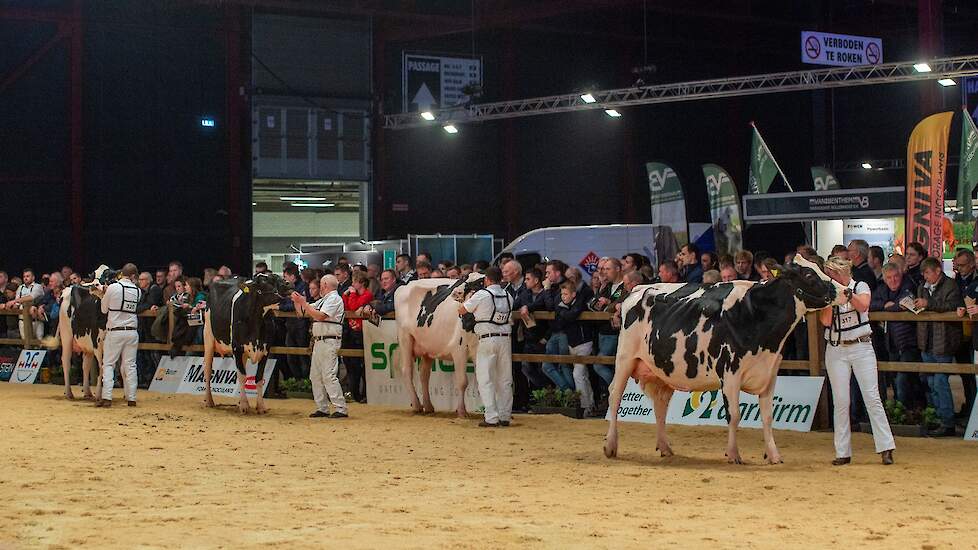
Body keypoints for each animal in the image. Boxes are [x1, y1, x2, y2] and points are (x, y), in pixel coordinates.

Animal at [199, 274, 288, 416]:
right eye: (265, 281)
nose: (287, 283)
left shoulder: (266, 351)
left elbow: (258, 378)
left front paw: (260, 406)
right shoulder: (237, 348)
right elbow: (242, 376)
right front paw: (245, 406)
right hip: (208, 337)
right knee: (207, 369)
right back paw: (209, 401)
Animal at [392, 276, 484, 418]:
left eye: (478, 283)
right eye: (466, 279)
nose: (455, 292)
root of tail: (405, 286)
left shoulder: (478, 350)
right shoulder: (459, 349)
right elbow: (462, 381)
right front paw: (462, 411)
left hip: (427, 346)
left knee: (424, 374)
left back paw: (428, 406)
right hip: (405, 337)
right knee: (407, 371)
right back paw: (417, 405)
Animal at [604, 258, 848, 466]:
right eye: (809, 274)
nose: (846, 290)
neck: (754, 313)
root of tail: (637, 289)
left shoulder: (770, 373)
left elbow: (768, 417)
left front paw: (774, 455)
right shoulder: (730, 373)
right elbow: (734, 415)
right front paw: (733, 454)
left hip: (662, 369)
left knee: (661, 404)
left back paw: (665, 447)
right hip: (625, 358)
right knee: (615, 396)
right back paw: (610, 446)